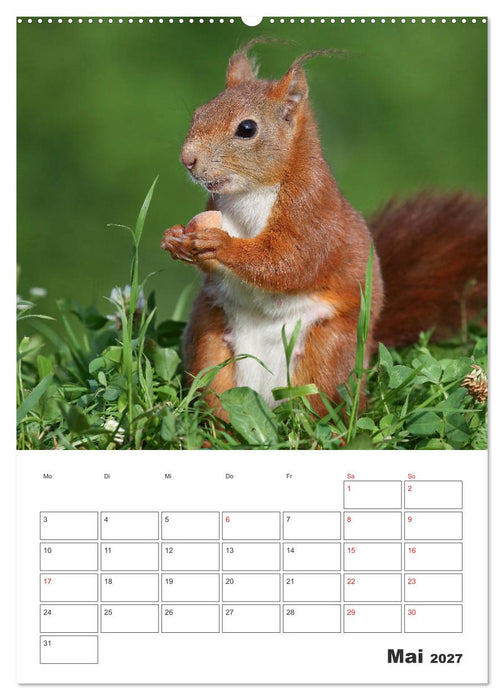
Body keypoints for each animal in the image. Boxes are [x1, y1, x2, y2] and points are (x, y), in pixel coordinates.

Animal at [161, 42, 487, 417]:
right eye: (199, 113)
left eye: (247, 129)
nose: (188, 159)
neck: (250, 194)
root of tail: (266, 397)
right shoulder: (215, 205)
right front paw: (173, 238)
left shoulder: (312, 213)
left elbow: (289, 261)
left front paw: (220, 243)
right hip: (211, 341)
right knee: (219, 395)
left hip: (326, 353)